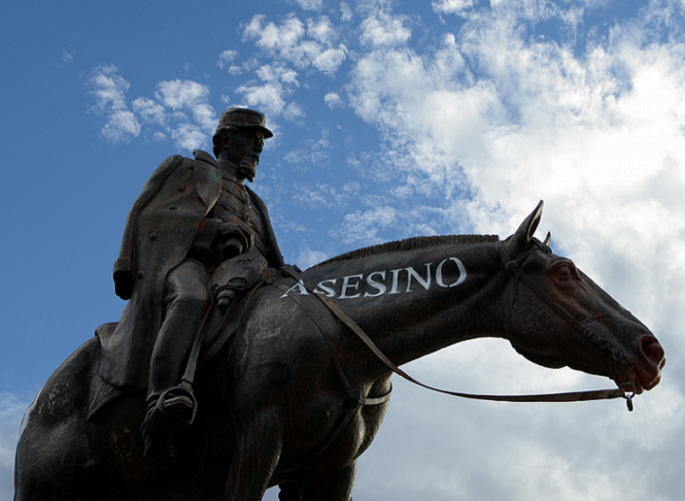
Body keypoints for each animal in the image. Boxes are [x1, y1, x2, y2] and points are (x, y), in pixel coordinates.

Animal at [12, 203, 664, 500]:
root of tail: (44, 400)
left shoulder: (332, 472)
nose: (651, 349)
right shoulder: (254, 449)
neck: (342, 342)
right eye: (564, 273)